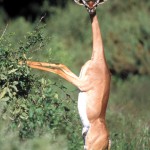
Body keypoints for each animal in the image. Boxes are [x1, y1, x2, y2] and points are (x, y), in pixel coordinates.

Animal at [20, 0, 110, 149]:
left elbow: (58, 70)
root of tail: (108, 140)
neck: (98, 60)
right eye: (86, 3)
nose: (91, 9)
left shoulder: (82, 84)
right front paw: (21, 60)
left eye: (96, 3)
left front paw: (20, 61)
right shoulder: (79, 78)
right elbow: (61, 65)